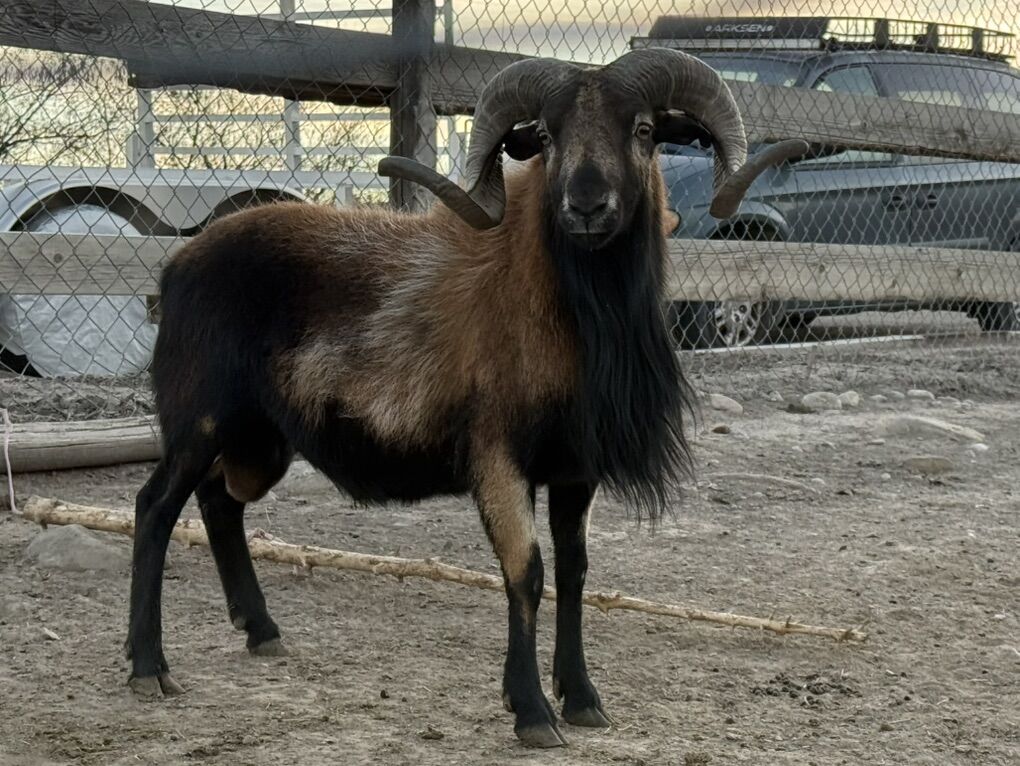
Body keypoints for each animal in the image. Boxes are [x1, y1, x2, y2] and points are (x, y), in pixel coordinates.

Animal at [125, 48, 807, 747]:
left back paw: (261, 631)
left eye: (643, 129)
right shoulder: (498, 459)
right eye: (548, 135)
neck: (566, 313)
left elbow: (575, 572)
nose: (587, 205)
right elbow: (526, 573)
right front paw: (531, 712)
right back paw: (149, 668)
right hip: (200, 421)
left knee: (219, 501)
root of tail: (177, 267)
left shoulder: (575, 470)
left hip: (259, 444)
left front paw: (583, 699)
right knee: (155, 507)